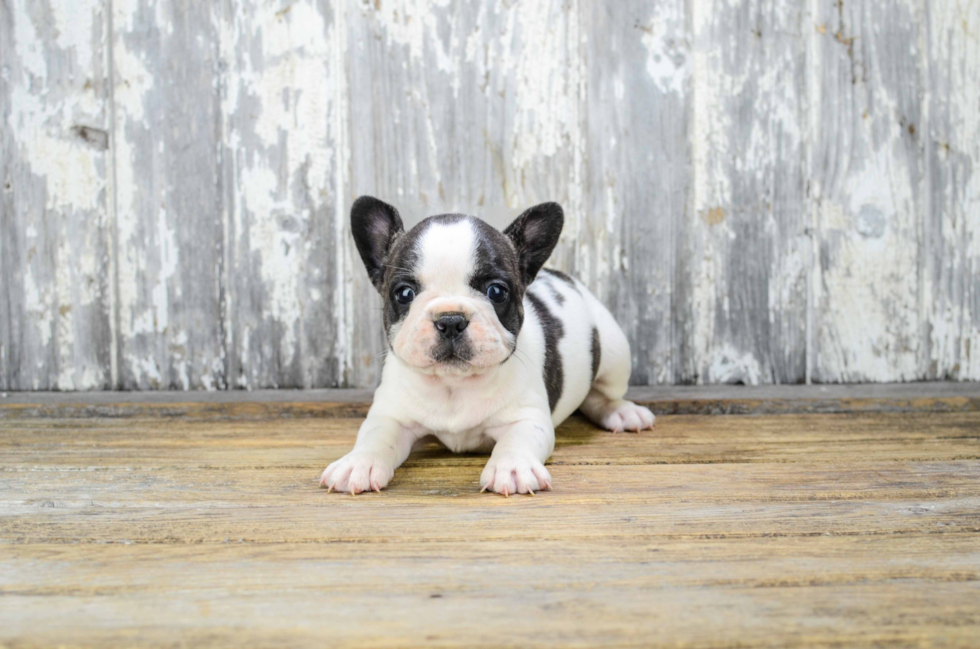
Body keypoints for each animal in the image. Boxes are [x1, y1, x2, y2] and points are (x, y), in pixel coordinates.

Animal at [322, 195, 656, 494]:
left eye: (496, 291)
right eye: (404, 294)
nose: (451, 319)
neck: (453, 386)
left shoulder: (527, 418)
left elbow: (515, 440)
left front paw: (512, 468)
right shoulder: (391, 415)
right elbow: (375, 437)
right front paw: (358, 463)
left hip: (615, 352)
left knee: (603, 395)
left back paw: (623, 413)